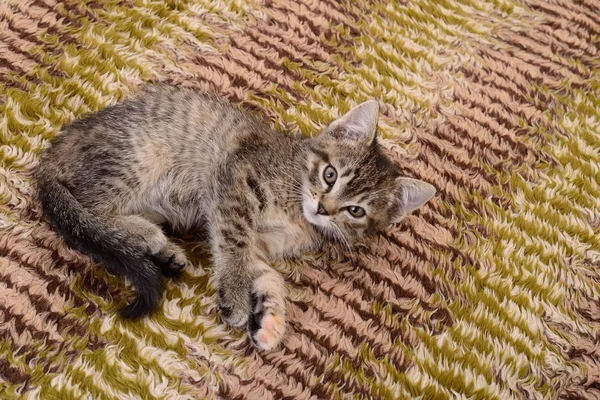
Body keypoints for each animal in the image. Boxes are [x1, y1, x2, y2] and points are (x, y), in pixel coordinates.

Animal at [36, 86, 436, 350]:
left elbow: (268, 274)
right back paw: (149, 237)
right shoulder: (235, 181)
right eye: (330, 175)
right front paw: (237, 296)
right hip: (138, 158)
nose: (323, 208)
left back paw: (163, 249)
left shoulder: (260, 244)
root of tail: (54, 152)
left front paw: (272, 320)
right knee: (90, 207)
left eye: (356, 210)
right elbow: (234, 245)